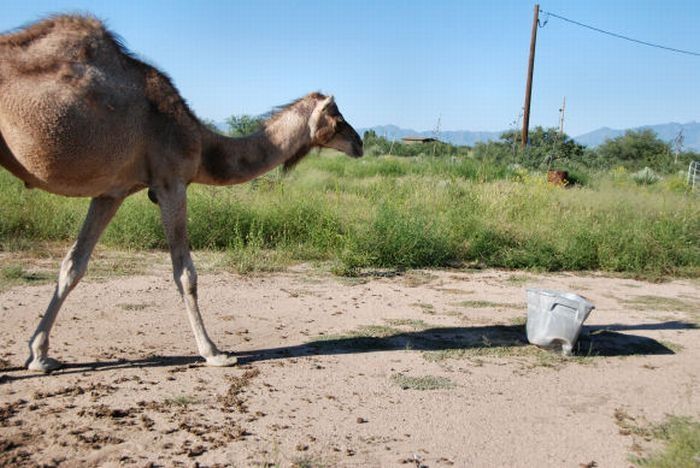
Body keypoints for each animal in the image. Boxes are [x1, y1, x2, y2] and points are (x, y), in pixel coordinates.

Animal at [0, 15, 360, 372]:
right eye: (338, 119)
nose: (359, 143)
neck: (202, 143)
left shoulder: (112, 192)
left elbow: (73, 265)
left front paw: (39, 355)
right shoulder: (171, 182)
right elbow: (185, 273)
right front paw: (214, 352)